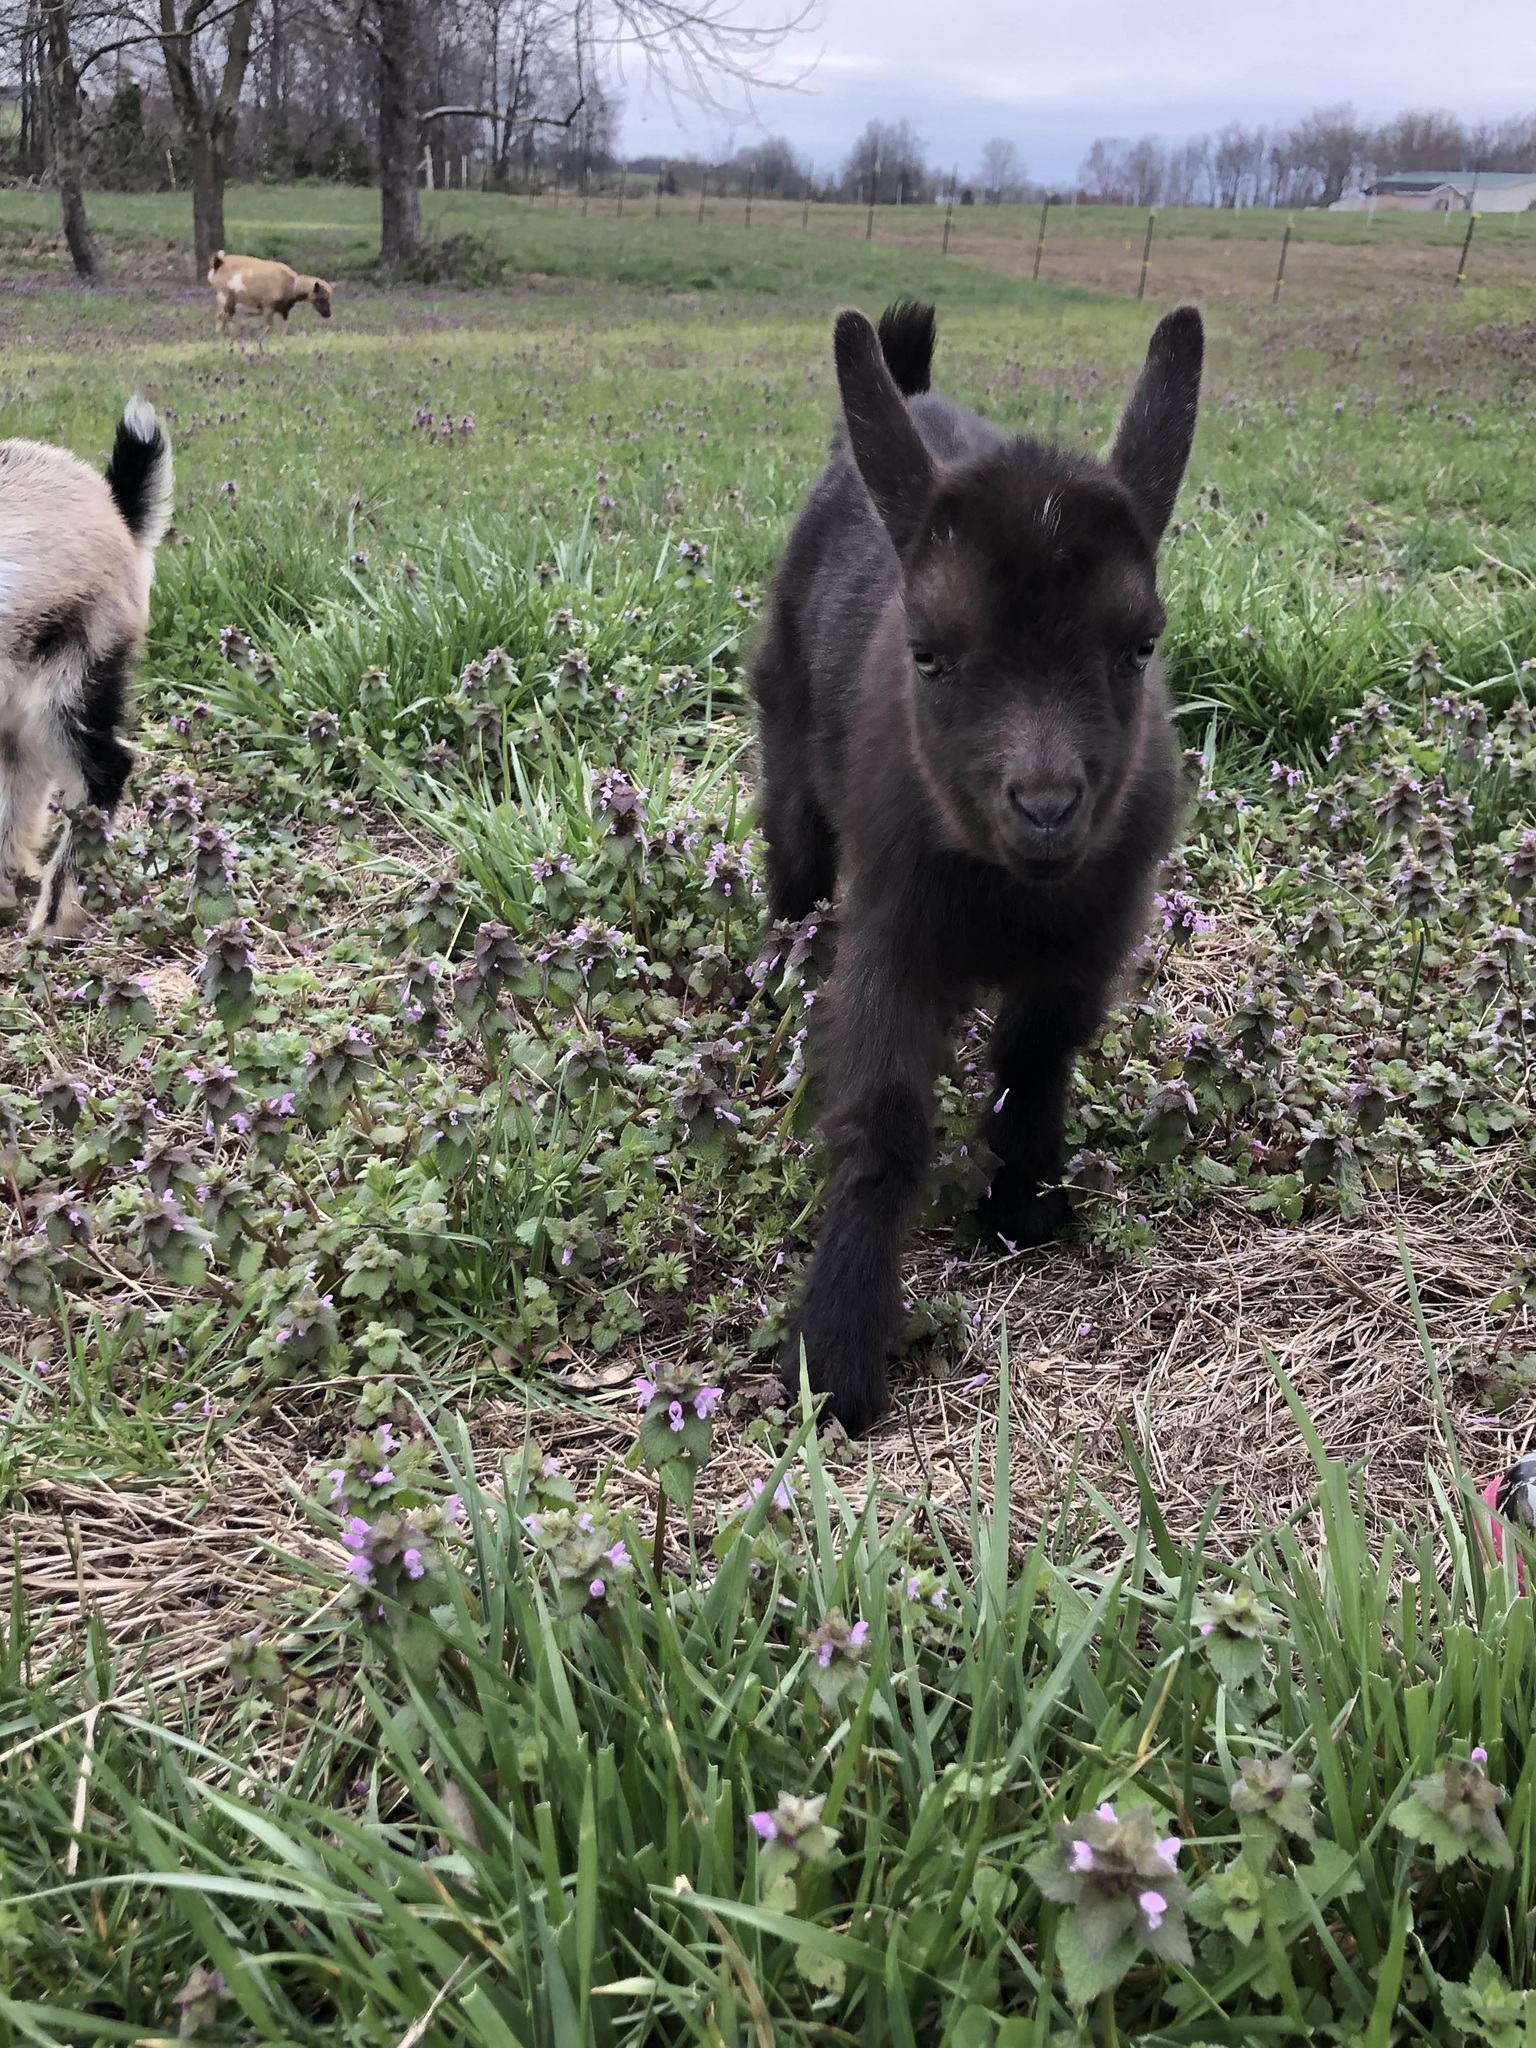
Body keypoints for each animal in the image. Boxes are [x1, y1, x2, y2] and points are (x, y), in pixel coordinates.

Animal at [752, 299, 1203, 1433]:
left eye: (1140, 645)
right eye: (928, 653)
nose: (1045, 808)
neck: (1015, 893)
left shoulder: (1091, 941)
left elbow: (1035, 1056)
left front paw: (1022, 1205)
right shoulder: (895, 934)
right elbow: (882, 1119)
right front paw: (835, 1352)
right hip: (788, 744)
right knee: (790, 862)